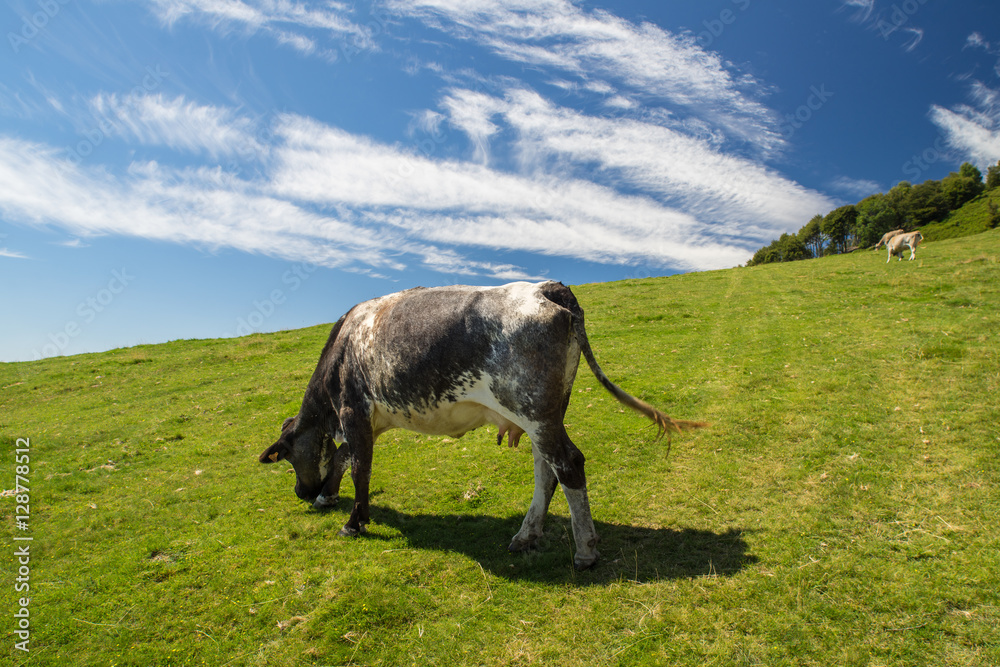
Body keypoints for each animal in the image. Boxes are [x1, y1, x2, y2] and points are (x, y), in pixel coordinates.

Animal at [262, 280, 708, 568]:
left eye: (287, 456)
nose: (302, 492)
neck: (343, 347)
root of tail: (547, 287)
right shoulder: (370, 419)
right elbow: (342, 458)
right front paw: (327, 497)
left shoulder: (353, 411)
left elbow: (359, 469)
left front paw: (353, 522)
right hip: (543, 416)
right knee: (546, 471)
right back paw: (526, 535)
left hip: (535, 411)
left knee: (569, 464)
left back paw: (584, 550)